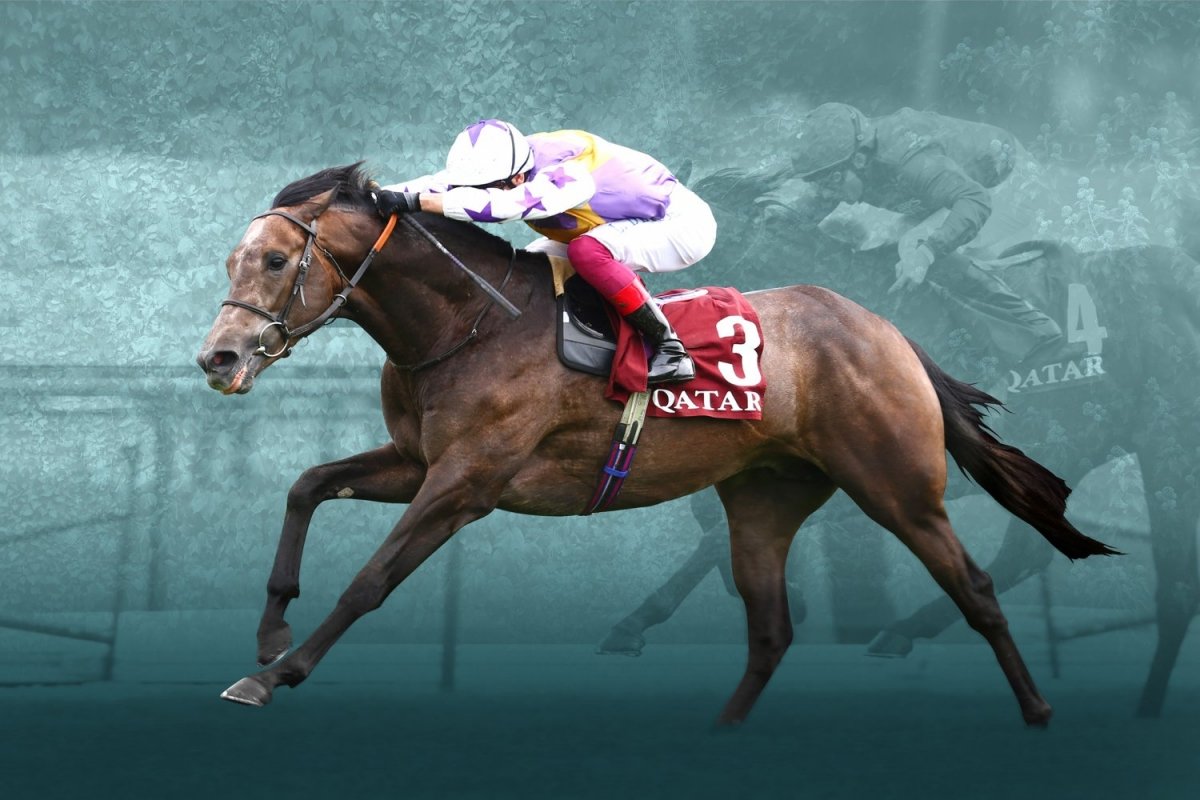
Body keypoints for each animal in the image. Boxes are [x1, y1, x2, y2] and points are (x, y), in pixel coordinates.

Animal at [196, 163, 1117, 727]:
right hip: (764, 499)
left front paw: (273, 674)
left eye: (274, 261)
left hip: (897, 485)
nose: (219, 358)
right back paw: (719, 729)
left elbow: (372, 580)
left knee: (976, 588)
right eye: (234, 258)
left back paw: (1037, 711)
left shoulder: (467, 480)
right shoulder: (419, 462)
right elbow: (307, 485)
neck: (471, 322)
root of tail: (887, 330)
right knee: (771, 628)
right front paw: (271, 633)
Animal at [604, 166, 1200, 717]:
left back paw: (1145, 703)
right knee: (1029, 552)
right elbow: (713, 524)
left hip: (1166, 444)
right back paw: (905, 631)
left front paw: (637, 622)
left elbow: (715, 535)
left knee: (1174, 582)